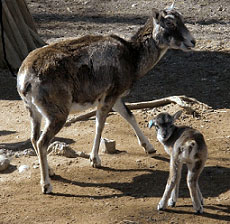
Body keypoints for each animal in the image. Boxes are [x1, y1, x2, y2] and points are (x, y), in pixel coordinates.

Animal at [16, 4, 196, 193]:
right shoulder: (108, 98)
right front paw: (95, 160)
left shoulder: (116, 98)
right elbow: (99, 125)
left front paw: (150, 148)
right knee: (42, 142)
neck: (132, 57)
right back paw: (47, 185)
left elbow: (129, 116)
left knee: (34, 138)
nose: (192, 42)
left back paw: (51, 172)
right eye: (169, 23)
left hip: (34, 112)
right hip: (57, 114)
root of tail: (26, 78)